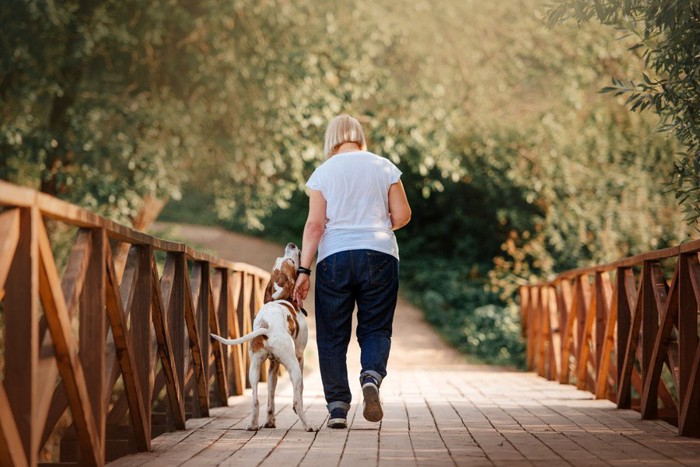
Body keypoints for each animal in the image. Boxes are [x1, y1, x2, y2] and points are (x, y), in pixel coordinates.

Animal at [209, 243, 316, 434]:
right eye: (289, 261)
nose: (291, 245)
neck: (280, 298)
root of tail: (266, 325)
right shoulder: (299, 356)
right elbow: (300, 391)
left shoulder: (272, 367)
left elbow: (271, 399)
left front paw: (270, 422)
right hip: (293, 366)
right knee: (297, 401)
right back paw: (308, 425)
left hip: (254, 368)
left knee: (256, 400)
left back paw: (253, 425)